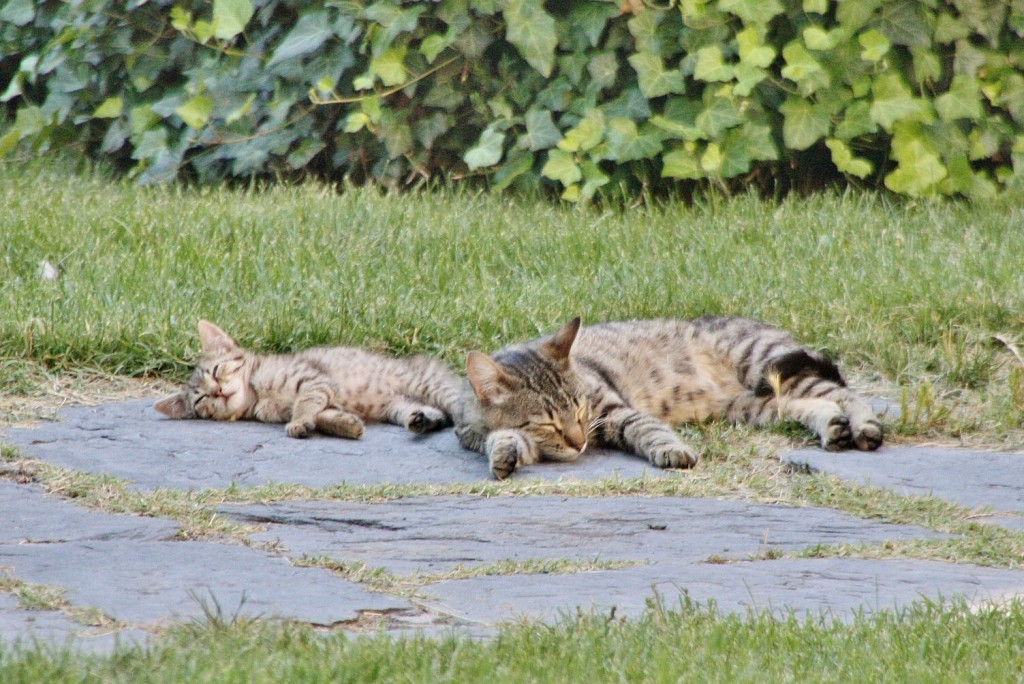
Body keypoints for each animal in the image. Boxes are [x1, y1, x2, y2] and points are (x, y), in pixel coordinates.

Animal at [154, 321, 460, 438]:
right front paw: (345, 424)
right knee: (434, 414)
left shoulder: (314, 381)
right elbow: (323, 414)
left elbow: (305, 403)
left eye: (217, 371)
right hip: (398, 406)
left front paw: (300, 422)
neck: (258, 396)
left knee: (455, 407)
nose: (217, 391)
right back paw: (422, 421)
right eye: (201, 399)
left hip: (426, 384)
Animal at [456, 317, 880, 479]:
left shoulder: (613, 410)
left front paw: (672, 450)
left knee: (847, 393)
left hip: (766, 363)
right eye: (548, 423)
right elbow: (503, 439)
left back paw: (864, 425)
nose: (579, 444)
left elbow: (647, 428)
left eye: (580, 410)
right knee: (811, 405)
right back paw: (832, 425)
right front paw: (503, 452)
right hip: (754, 405)